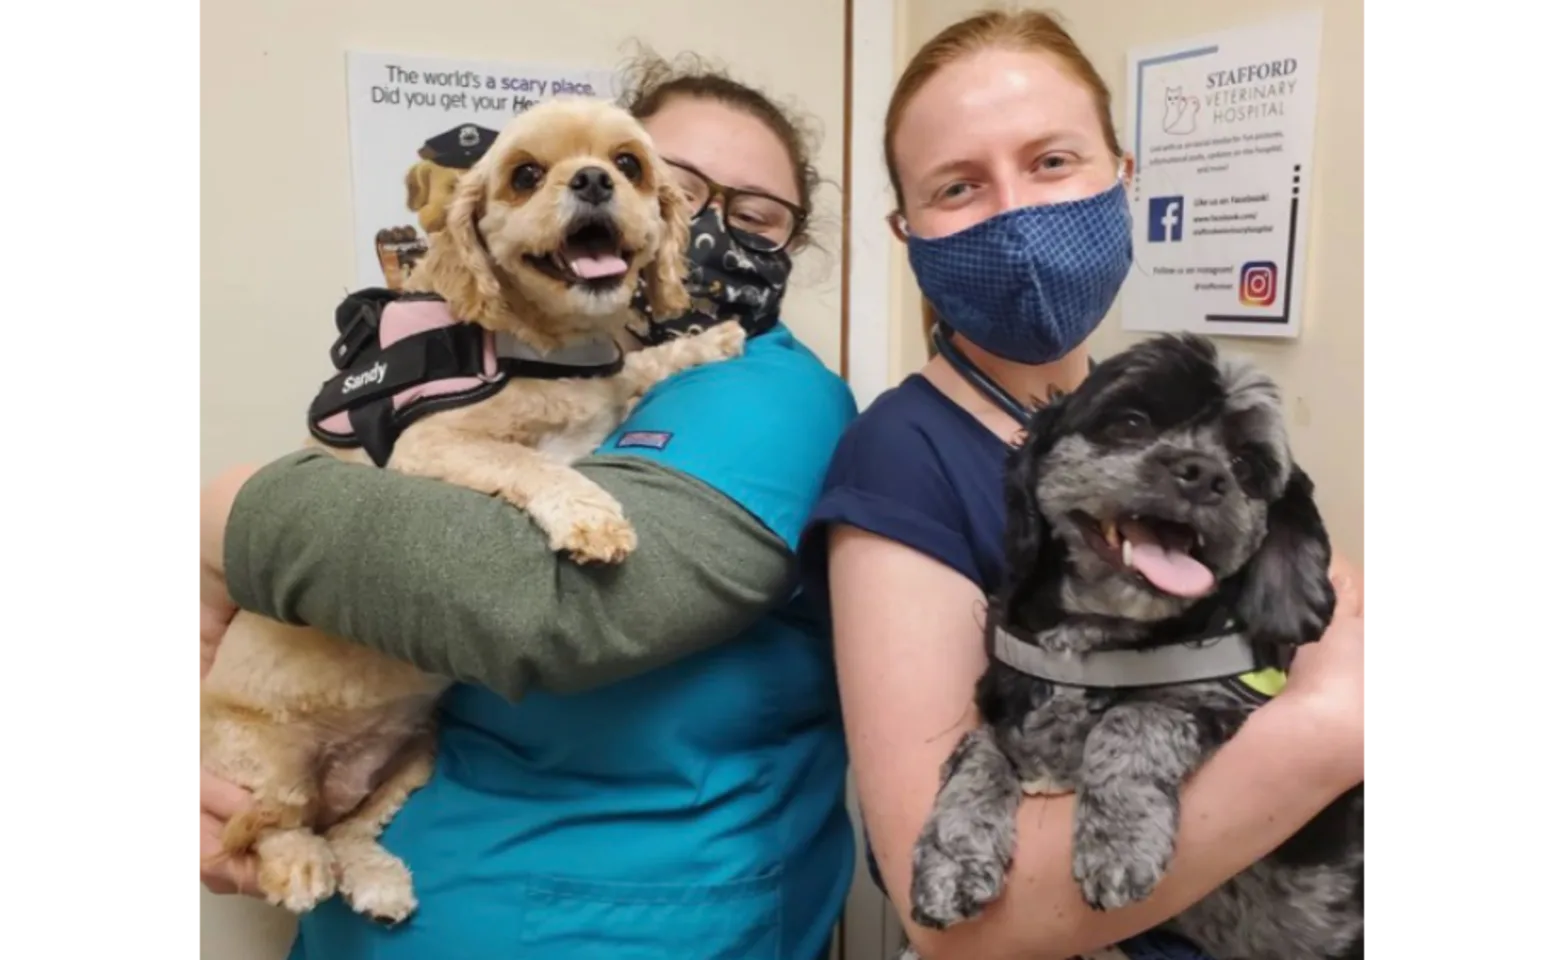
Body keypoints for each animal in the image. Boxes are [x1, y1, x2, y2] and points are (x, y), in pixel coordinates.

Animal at [198, 95, 747, 925]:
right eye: (524, 176)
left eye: (628, 164)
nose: (592, 180)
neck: (545, 347)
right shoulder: (429, 445)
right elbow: (531, 460)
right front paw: (591, 517)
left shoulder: (604, 388)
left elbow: (640, 367)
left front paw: (707, 342)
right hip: (259, 760)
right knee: (279, 829)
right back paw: (300, 868)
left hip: (414, 748)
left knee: (350, 826)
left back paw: (374, 877)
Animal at [907, 334, 1370, 960]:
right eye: (1130, 422)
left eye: (1246, 467)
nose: (1204, 473)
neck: (1097, 636)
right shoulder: (1002, 706)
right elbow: (977, 752)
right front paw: (952, 857)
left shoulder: (1225, 702)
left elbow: (1136, 716)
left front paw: (1118, 838)